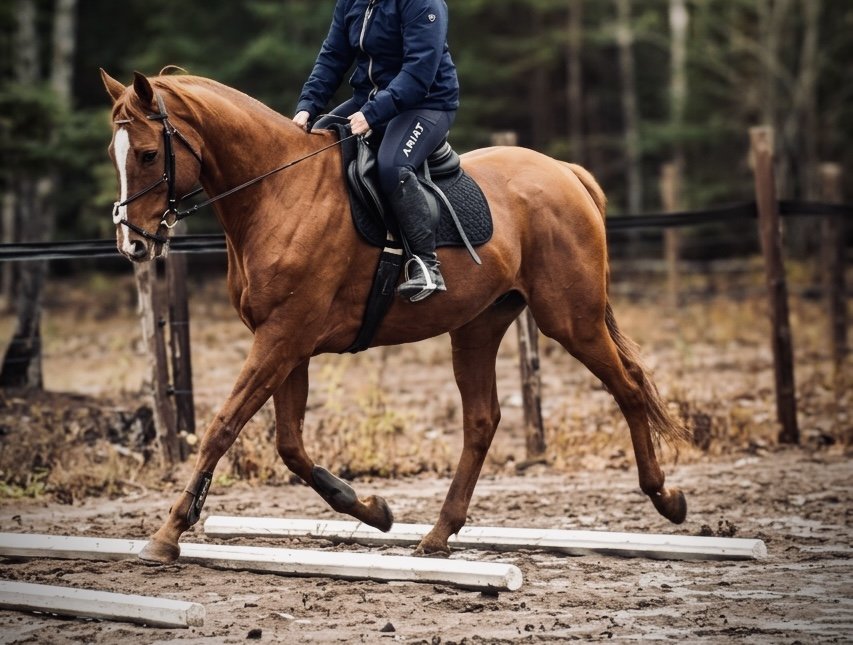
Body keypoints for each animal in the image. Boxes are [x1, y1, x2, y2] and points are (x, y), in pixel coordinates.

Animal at [100, 69, 688, 564]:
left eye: (148, 155)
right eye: (115, 152)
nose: (133, 244)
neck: (278, 194)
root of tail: (563, 172)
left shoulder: (282, 338)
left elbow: (223, 426)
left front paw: (167, 534)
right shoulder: (286, 345)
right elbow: (289, 445)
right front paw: (374, 510)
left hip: (571, 320)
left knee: (628, 388)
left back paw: (665, 497)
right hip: (478, 326)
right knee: (482, 421)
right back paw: (437, 535)